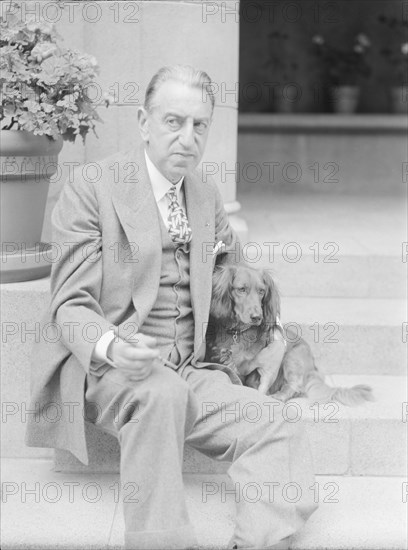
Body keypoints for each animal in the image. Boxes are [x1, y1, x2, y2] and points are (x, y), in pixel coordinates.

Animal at [206, 266, 374, 408]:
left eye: (261, 291)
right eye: (241, 289)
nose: (257, 317)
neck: (239, 332)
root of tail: (314, 368)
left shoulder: (269, 366)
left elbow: (261, 388)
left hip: (293, 357)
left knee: (294, 386)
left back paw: (279, 396)